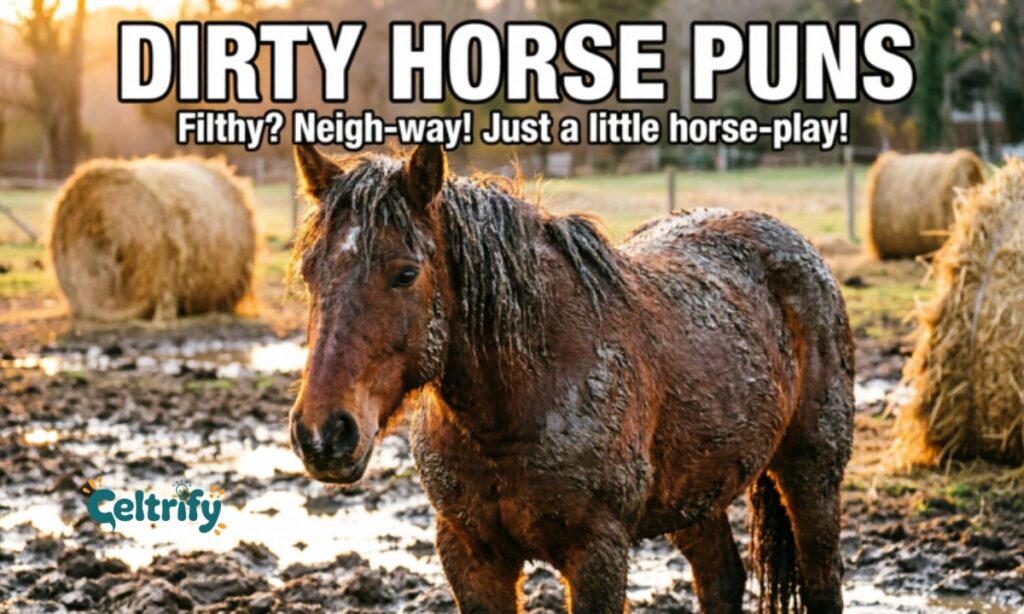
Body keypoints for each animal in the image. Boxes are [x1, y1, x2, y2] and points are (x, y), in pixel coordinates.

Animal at [288, 143, 854, 614]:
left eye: (405, 274)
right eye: (310, 273)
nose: (322, 434)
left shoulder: (596, 553)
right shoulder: (470, 554)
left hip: (811, 473)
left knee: (821, 581)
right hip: (697, 494)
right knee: (722, 580)